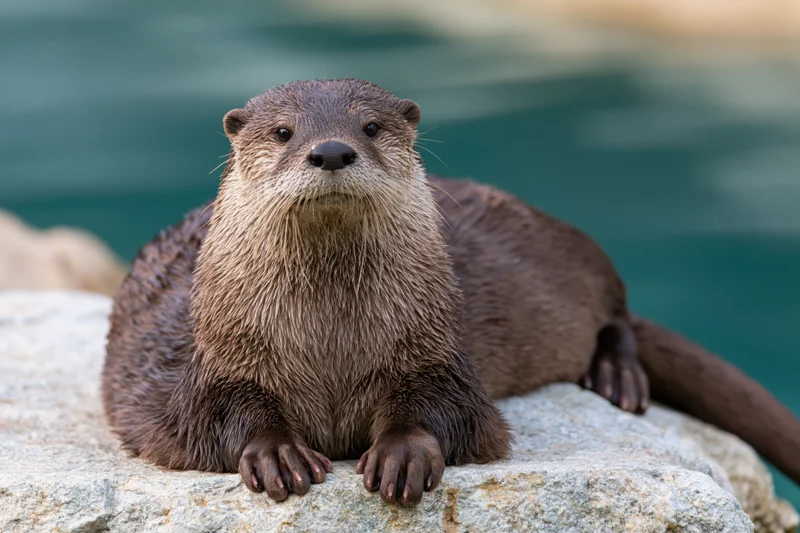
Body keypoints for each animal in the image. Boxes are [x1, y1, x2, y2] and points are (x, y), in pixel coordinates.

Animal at [102, 78, 800, 508]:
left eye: (371, 126)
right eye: (282, 132)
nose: (331, 150)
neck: (328, 348)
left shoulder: (434, 348)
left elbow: (455, 412)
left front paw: (402, 453)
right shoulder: (216, 362)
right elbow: (213, 419)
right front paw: (276, 453)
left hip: (581, 260)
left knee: (621, 316)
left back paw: (617, 378)